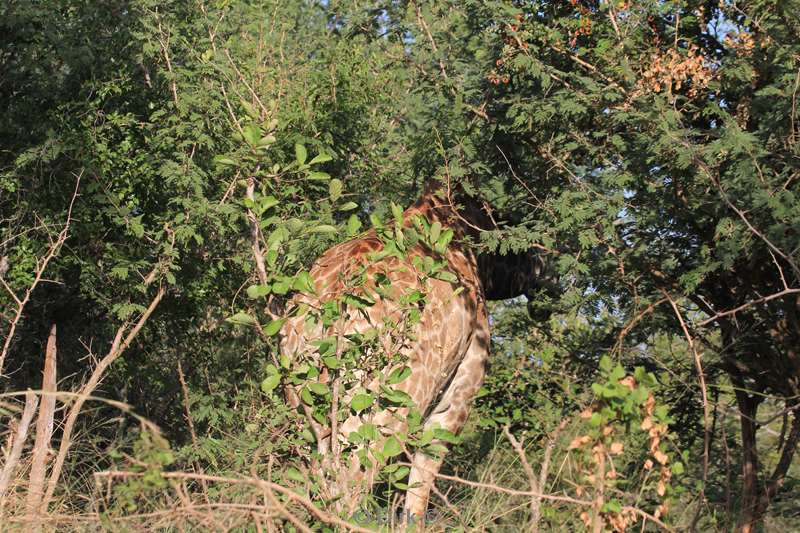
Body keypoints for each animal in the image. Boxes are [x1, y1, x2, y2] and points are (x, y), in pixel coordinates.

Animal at [278, 182, 552, 516]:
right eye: (537, 249)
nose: (556, 284)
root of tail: (331, 306)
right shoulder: (460, 389)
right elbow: (418, 490)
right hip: (381, 406)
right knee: (350, 485)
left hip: (302, 403)